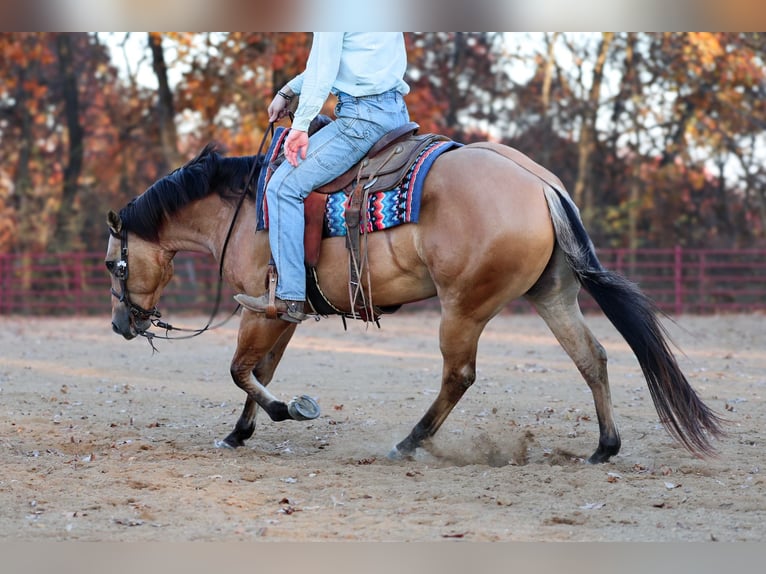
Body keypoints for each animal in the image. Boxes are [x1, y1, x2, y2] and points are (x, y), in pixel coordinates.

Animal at [105, 139, 724, 464]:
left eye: (114, 263)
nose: (120, 325)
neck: (243, 209)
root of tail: (539, 183)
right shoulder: (280, 314)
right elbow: (260, 371)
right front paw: (240, 433)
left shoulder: (258, 309)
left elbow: (240, 370)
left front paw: (288, 411)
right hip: (552, 296)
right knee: (590, 358)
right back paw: (605, 446)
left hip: (464, 307)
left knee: (459, 375)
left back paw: (409, 441)